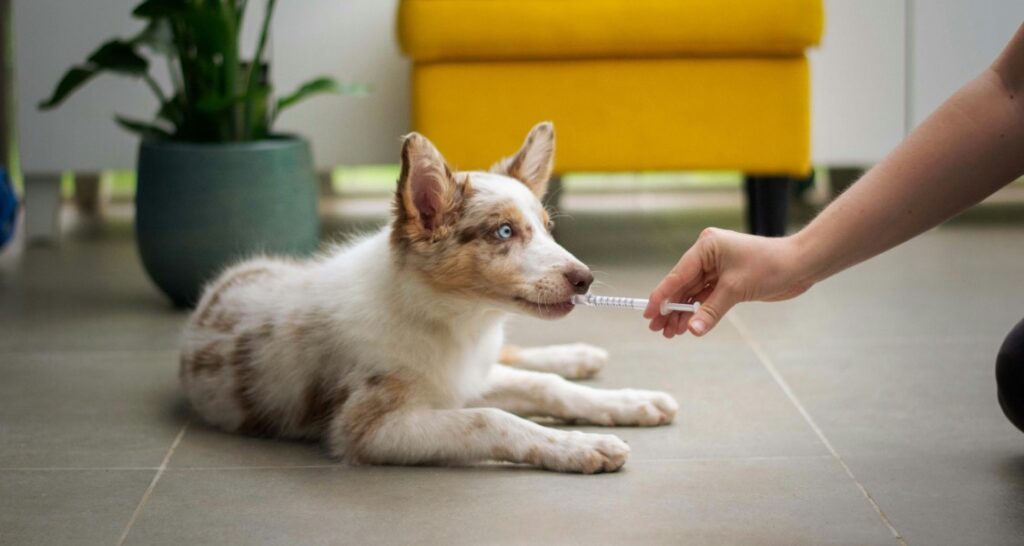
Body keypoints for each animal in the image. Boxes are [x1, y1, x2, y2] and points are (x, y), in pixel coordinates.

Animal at [182, 122, 679, 473]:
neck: (452, 320)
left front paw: (627, 403)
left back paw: (579, 357)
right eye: (504, 232)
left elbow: (546, 386)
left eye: (547, 229)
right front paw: (582, 446)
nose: (585, 280)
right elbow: (493, 418)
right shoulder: (370, 428)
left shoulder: (466, 376)